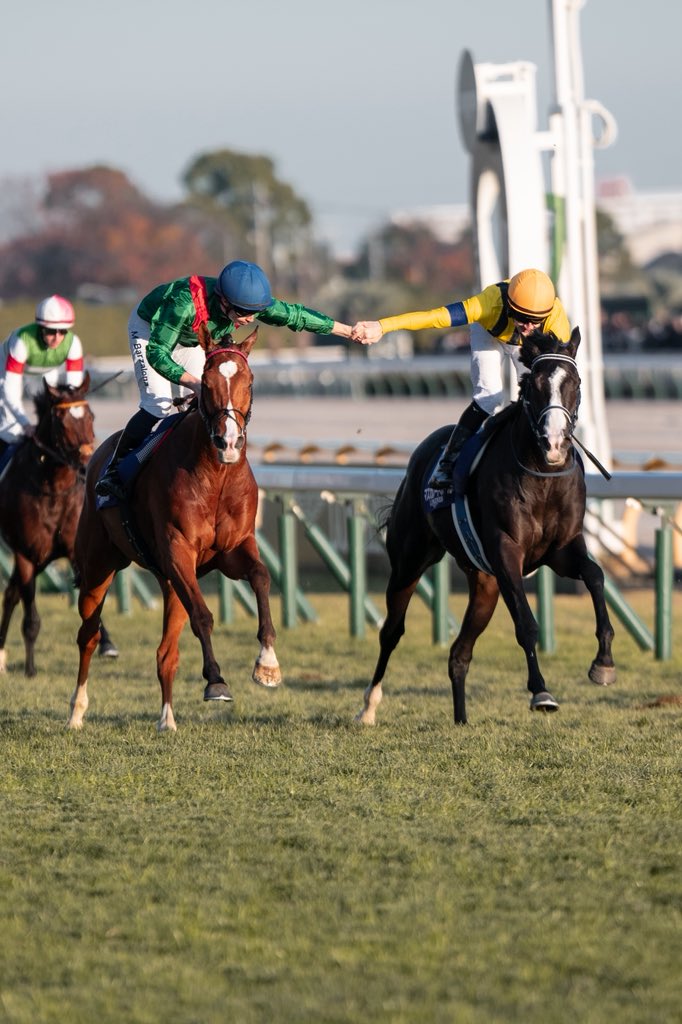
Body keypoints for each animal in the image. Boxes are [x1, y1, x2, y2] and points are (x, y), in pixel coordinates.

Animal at [0, 374, 118, 676]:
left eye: (91, 415)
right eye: (62, 421)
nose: (89, 463)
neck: (52, 490)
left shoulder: (75, 550)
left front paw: (106, 644)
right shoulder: (26, 553)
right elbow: (31, 615)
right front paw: (30, 668)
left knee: (11, 593)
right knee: (14, 593)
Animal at [68, 324, 281, 732]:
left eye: (249, 381)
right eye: (207, 383)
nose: (229, 442)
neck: (217, 477)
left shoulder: (233, 549)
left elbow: (261, 577)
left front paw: (267, 664)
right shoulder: (178, 550)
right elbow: (204, 616)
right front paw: (215, 681)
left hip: (170, 581)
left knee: (166, 652)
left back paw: (167, 718)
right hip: (99, 565)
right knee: (88, 634)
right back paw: (76, 711)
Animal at [356, 327, 616, 726]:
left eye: (574, 382)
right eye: (534, 386)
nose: (555, 443)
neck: (543, 476)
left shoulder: (561, 550)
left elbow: (595, 575)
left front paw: (603, 662)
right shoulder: (506, 551)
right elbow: (526, 623)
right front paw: (541, 691)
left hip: (485, 585)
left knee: (459, 653)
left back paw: (461, 719)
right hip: (409, 562)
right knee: (392, 632)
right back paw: (368, 706)